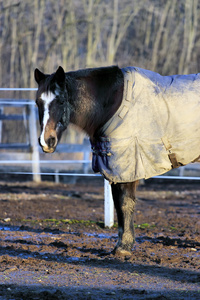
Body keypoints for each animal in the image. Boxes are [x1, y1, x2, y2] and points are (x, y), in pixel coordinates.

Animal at [34, 65, 200, 255]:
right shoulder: (114, 171)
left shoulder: (126, 168)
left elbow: (124, 204)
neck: (112, 102)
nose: (46, 141)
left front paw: (123, 247)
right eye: (37, 102)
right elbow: (118, 205)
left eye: (61, 101)